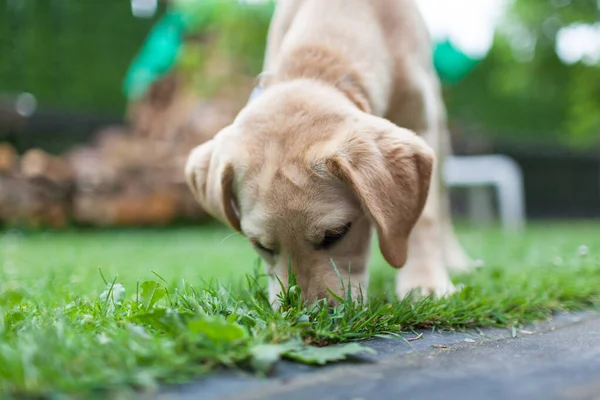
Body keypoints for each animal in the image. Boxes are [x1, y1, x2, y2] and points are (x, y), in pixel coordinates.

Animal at [186, 0, 474, 306]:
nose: (310, 313)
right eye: (260, 245)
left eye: (336, 234)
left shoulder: (418, 118)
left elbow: (426, 218)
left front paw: (424, 283)